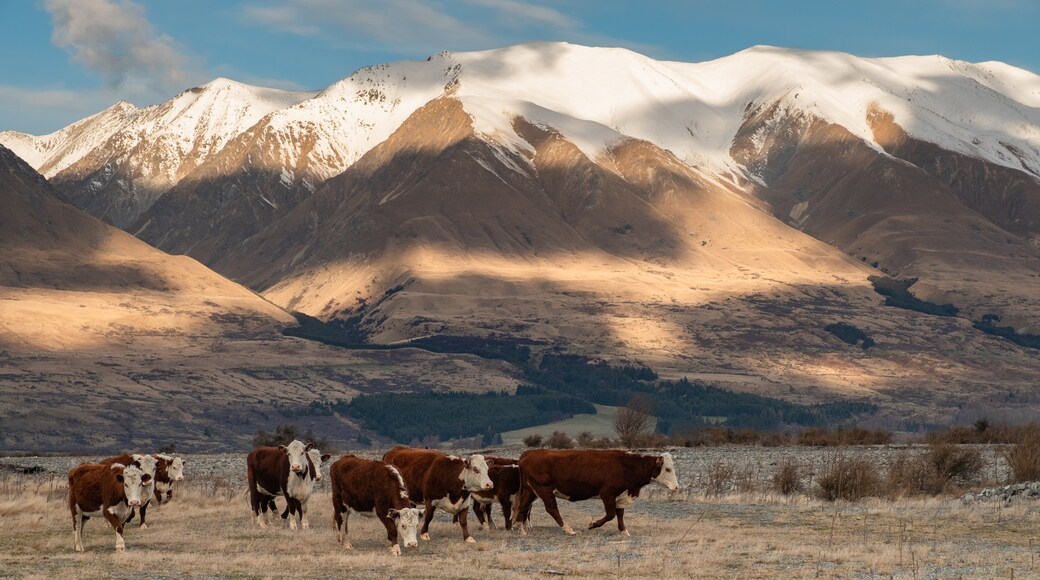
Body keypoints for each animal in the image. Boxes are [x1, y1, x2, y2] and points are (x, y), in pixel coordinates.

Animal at [513, 451, 678, 540]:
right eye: (668, 469)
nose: (676, 487)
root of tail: (529, 453)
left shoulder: (621, 496)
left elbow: (620, 513)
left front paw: (623, 530)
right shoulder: (607, 493)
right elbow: (611, 514)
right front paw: (593, 524)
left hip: (530, 489)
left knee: (523, 506)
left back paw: (520, 528)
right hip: (544, 489)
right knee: (551, 509)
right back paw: (568, 529)